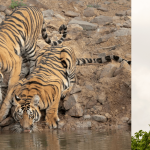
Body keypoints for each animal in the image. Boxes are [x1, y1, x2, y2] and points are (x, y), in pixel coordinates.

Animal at [0, 44, 130, 132]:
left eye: (31, 115)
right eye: (20, 115)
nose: (26, 129)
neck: (27, 94)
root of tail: (58, 44)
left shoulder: (56, 84)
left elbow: (53, 106)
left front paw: (51, 121)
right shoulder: (16, 86)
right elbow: (6, 102)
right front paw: (1, 115)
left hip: (66, 59)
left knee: (73, 81)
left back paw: (66, 91)